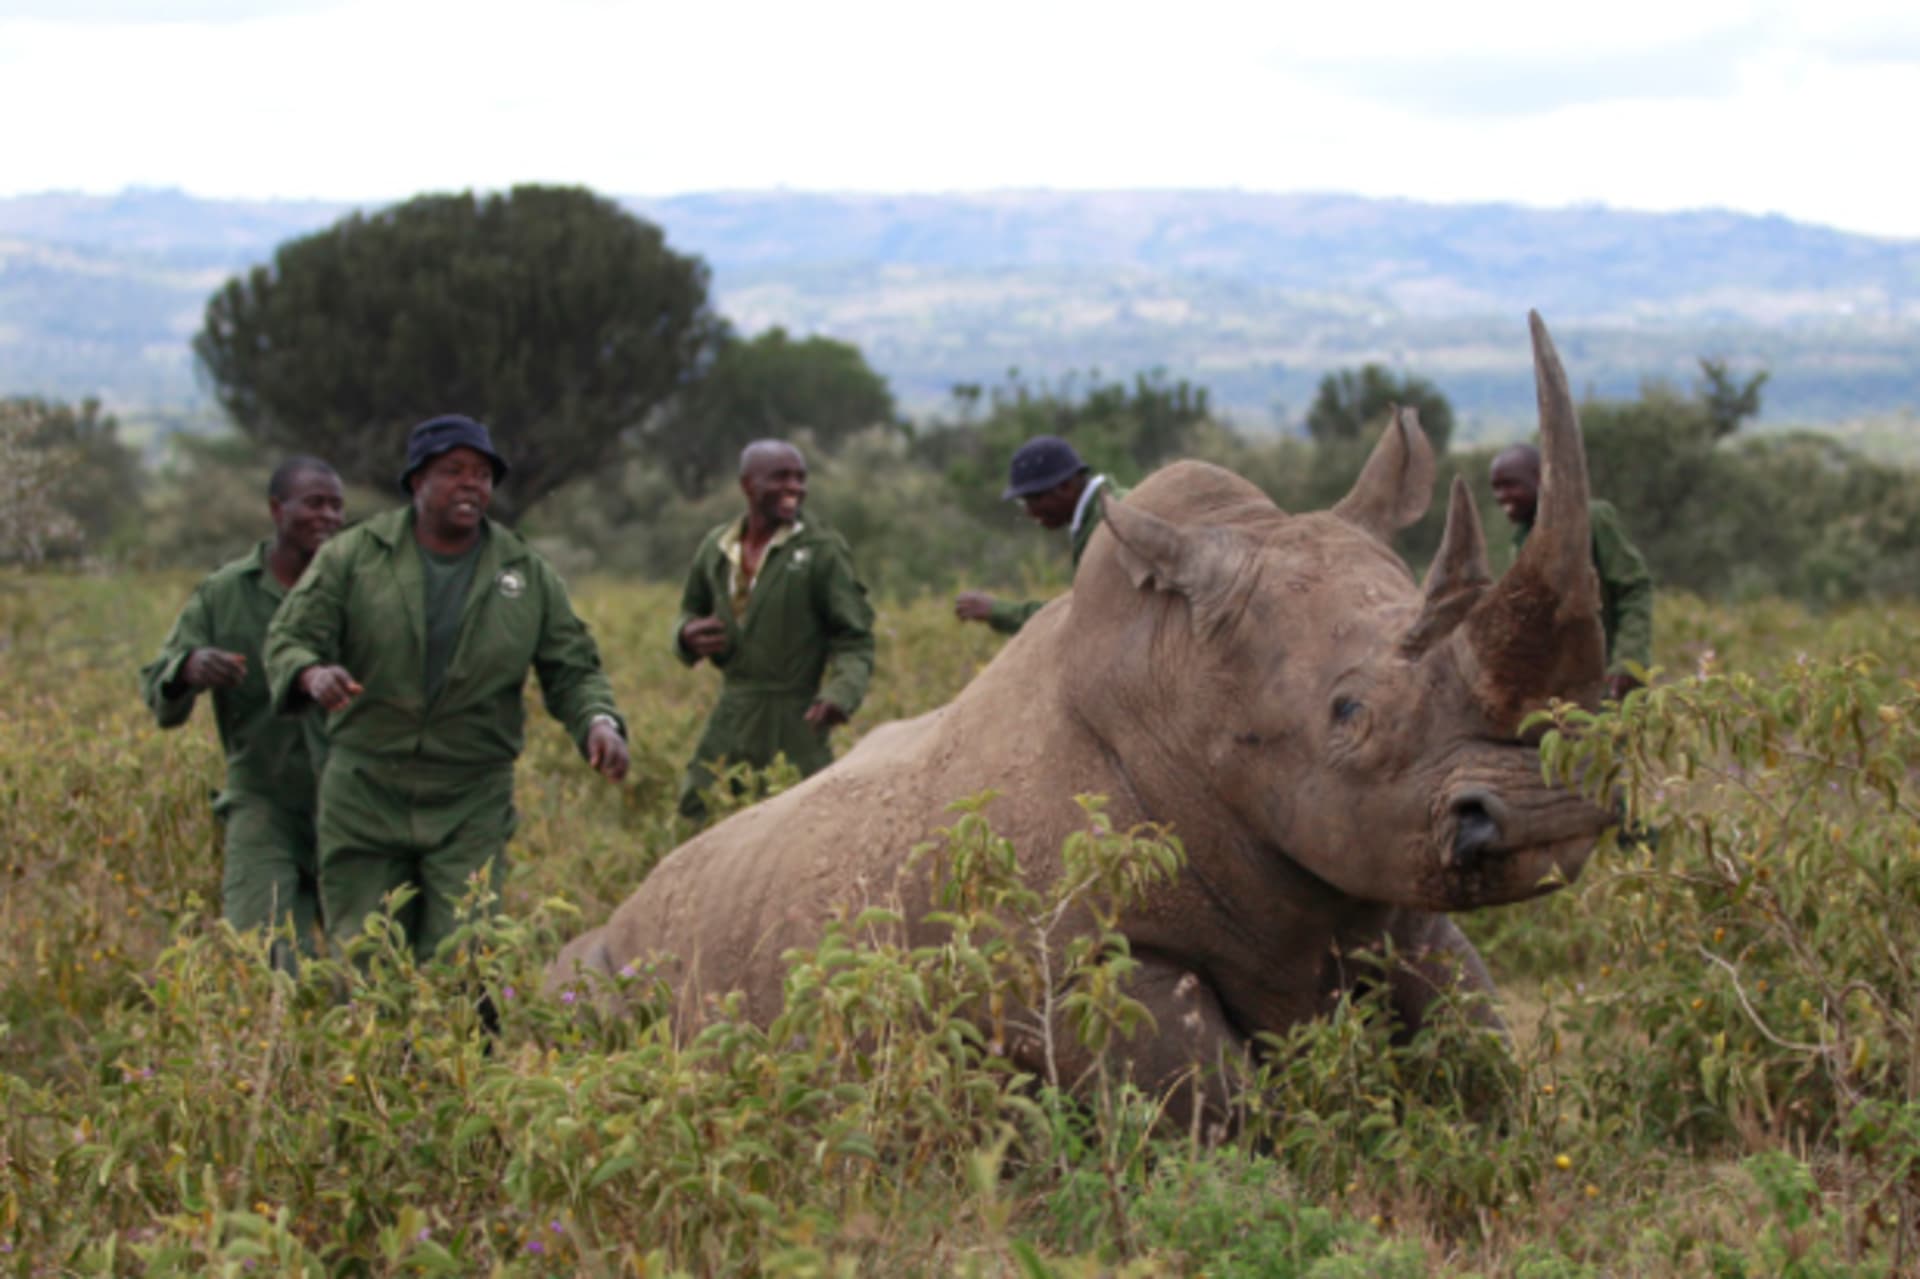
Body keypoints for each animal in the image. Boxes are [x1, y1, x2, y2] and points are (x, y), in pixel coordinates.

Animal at [552, 312, 1614, 1119]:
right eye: (1348, 710)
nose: (1544, 816)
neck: (1182, 682)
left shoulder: (1388, 899)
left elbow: (1478, 1046)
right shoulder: (1060, 970)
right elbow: (1215, 1103)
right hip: (613, 955)